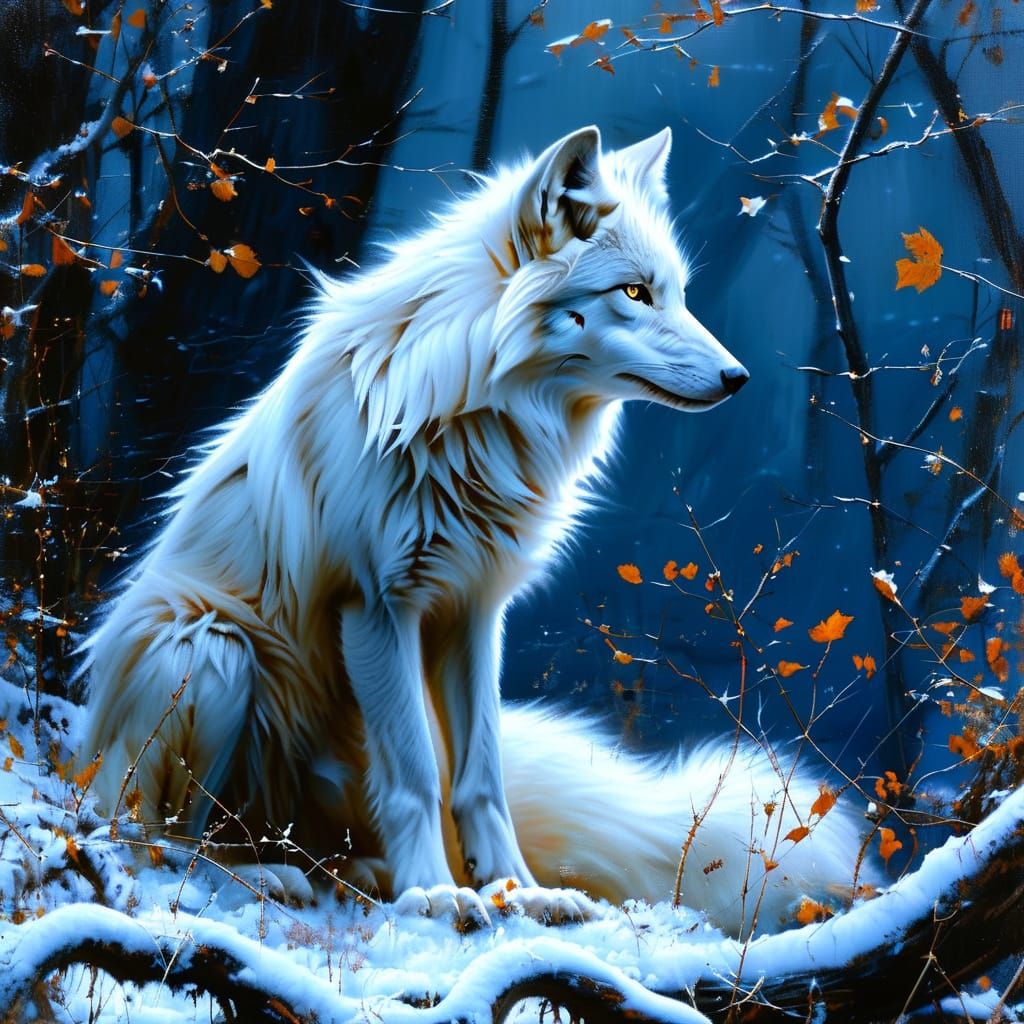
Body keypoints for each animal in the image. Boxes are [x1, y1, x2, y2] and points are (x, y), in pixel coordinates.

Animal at [84, 126, 866, 937]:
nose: (739, 378)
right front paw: (435, 893)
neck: (478, 421)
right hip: (211, 652)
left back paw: (360, 873)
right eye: (634, 293)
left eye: (675, 293)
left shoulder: (474, 612)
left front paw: (517, 893)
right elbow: (417, 777)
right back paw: (269, 876)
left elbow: (479, 780)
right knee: (156, 839)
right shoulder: (378, 607)